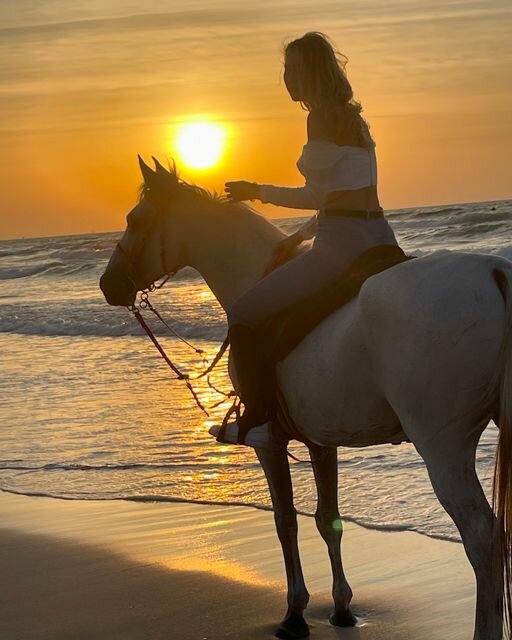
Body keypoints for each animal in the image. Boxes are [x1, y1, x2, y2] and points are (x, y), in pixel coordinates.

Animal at [100, 156, 512, 640]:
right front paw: (342, 608)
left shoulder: (268, 441)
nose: (108, 284)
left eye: (135, 219)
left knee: (482, 538)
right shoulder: (321, 439)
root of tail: (493, 272)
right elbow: (327, 521)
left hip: (442, 447)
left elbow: (286, 522)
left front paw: (295, 613)